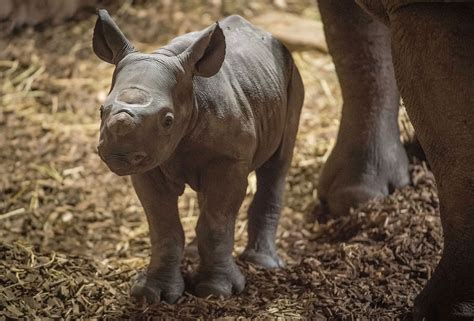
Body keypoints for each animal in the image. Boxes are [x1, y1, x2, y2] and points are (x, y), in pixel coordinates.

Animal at [92, 8, 304, 302]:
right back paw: (194, 254)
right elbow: (164, 226)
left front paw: (216, 291)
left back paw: (263, 263)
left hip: (292, 76)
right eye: (101, 110)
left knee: (276, 166)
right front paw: (153, 293)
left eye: (168, 120)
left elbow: (217, 223)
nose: (118, 154)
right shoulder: (150, 162)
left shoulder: (229, 160)